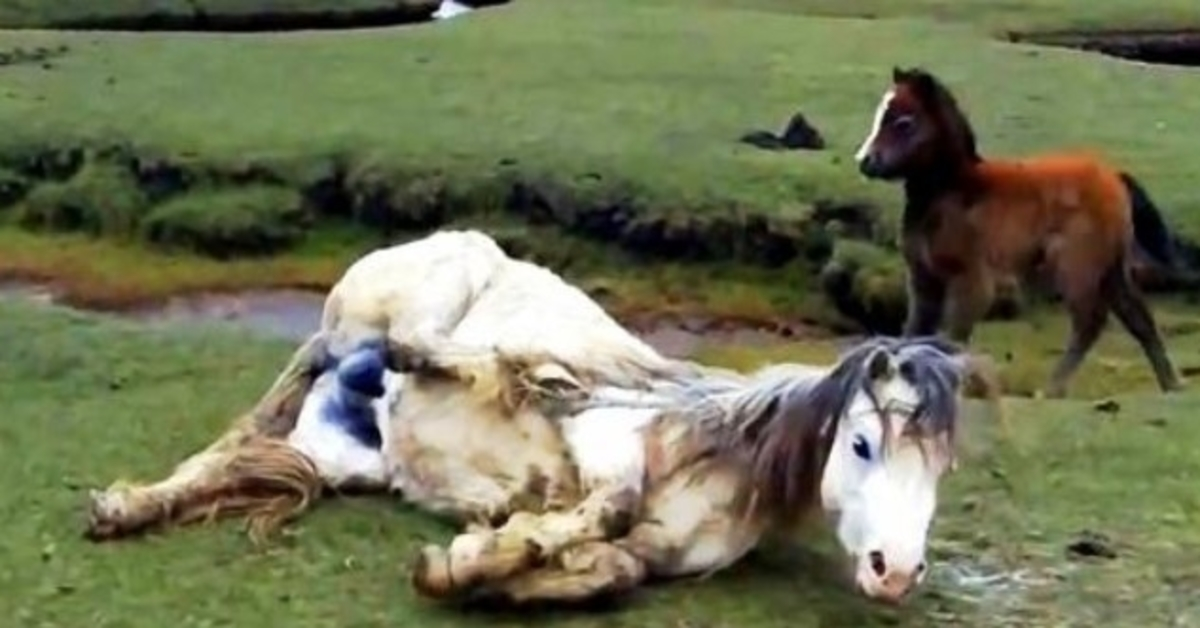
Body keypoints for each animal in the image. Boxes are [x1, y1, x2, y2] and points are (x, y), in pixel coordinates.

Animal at [87, 228, 1003, 607]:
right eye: (862, 443)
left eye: (942, 469)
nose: (895, 573)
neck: (713, 459)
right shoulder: (603, 446)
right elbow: (606, 502)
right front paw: (474, 554)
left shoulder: (646, 556)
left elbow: (612, 571)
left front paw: (487, 567)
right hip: (351, 328)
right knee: (283, 407)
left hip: (344, 452)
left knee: (246, 453)